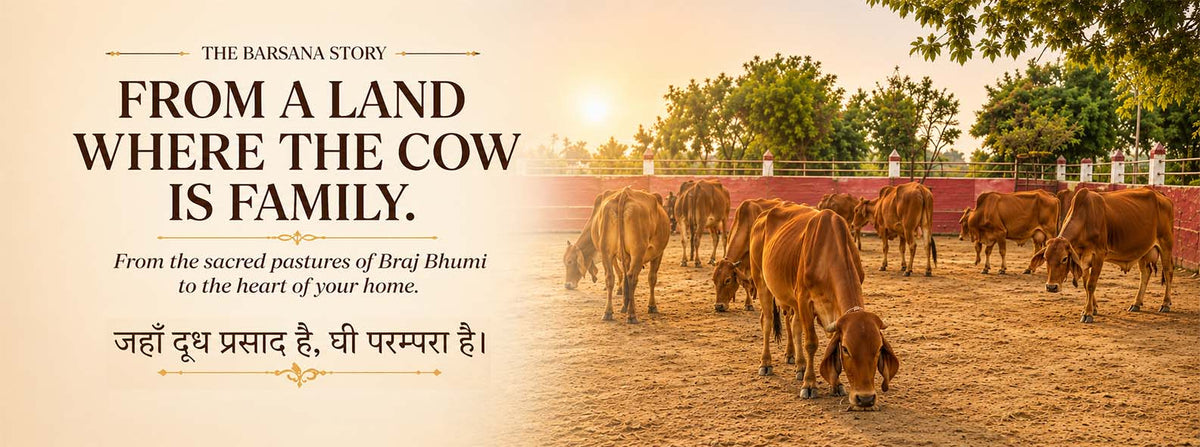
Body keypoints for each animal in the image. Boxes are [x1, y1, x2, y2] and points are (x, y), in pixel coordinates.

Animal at [591, 187, 672, 323]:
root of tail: (625, 193)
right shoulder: (658, 254)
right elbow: (652, 278)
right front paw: (652, 306)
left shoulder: (626, 257)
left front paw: (625, 305)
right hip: (637, 251)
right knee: (632, 277)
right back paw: (632, 315)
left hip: (606, 251)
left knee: (610, 277)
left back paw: (608, 312)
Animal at [750, 206, 899, 409]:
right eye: (846, 349)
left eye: (878, 349)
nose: (866, 399)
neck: (827, 254)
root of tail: (763, 215)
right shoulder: (804, 301)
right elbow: (811, 343)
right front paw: (809, 384)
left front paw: (836, 384)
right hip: (762, 282)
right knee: (767, 321)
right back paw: (766, 363)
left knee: (794, 326)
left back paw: (800, 365)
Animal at [1030, 187, 1175, 323]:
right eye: (1045, 258)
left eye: (1064, 259)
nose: (1051, 287)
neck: (1085, 219)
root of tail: (1161, 195)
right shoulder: (1082, 259)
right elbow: (1085, 284)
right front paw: (1092, 308)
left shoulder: (1099, 256)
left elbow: (1091, 285)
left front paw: (1088, 313)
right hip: (1143, 249)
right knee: (1145, 273)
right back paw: (1136, 303)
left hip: (1166, 244)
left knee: (1168, 272)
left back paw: (1165, 304)